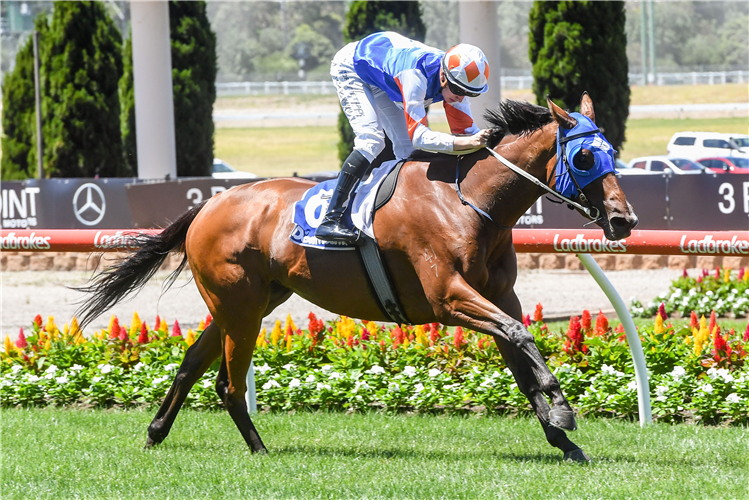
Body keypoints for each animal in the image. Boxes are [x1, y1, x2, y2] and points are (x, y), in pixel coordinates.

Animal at [77, 94, 636, 460]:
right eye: (585, 155)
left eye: (613, 151)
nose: (623, 219)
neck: (468, 203)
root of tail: (210, 204)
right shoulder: (448, 298)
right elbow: (521, 338)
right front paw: (563, 412)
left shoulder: (499, 296)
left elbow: (520, 352)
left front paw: (565, 441)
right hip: (240, 306)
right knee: (229, 384)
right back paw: (259, 449)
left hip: (249, 303)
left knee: (193, 365)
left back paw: (156, 431)